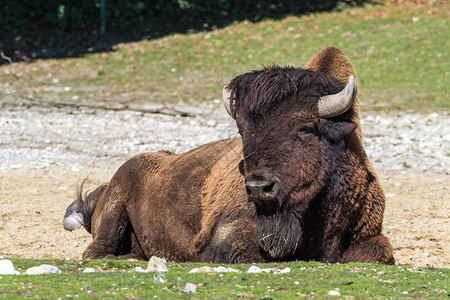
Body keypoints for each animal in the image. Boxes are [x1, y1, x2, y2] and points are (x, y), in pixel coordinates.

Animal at [62, 45, 394, 264]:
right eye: (242, 130)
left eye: (306, 128)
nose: (259, 188)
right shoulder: (229, 235)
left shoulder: (368, 235)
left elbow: (380, 252)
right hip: (115, 206)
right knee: (96, 250)